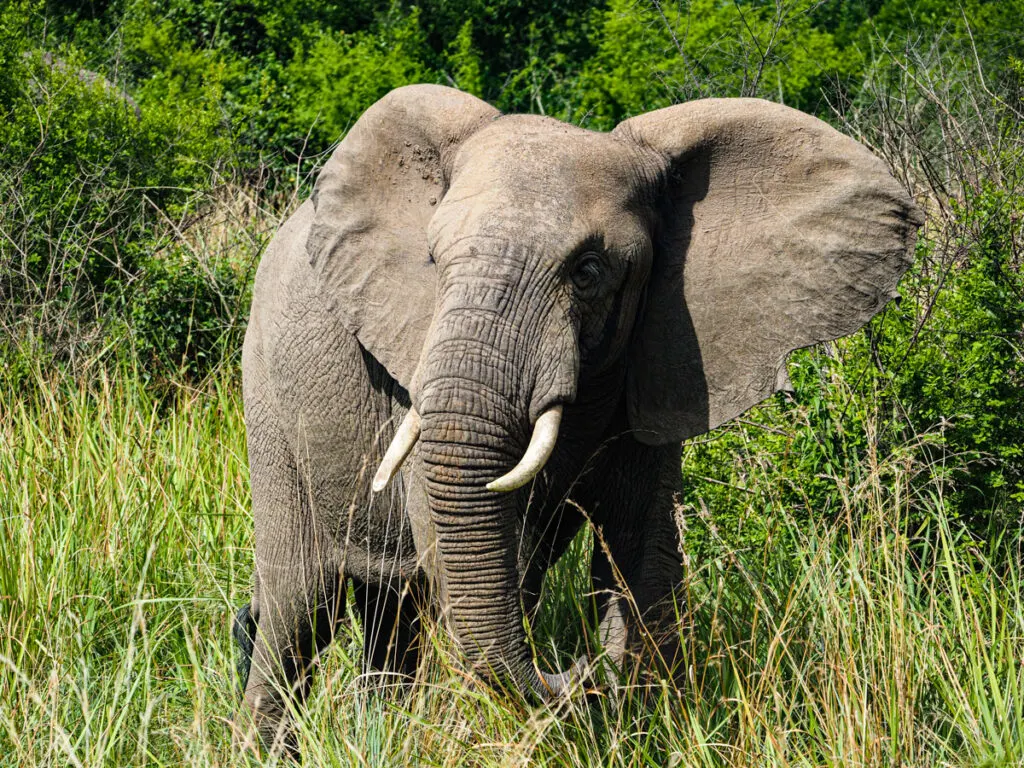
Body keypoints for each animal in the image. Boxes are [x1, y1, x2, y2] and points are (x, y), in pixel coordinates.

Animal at [235, 83, 925, 753]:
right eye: (431, 260)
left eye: (588, 271)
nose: (577, 670)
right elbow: (467, 551)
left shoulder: (655, 362)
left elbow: (644, 555)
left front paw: (644, 720)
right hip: (266, 400)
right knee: (300, 610)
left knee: (387, 613)